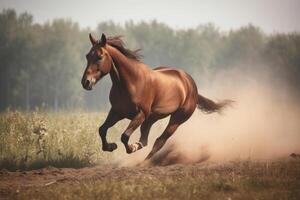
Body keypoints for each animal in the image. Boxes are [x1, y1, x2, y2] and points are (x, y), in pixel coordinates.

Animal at [81, 33, 231, 162]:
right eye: (87, 56)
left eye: (100, 57)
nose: (85, 82)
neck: (130, 82)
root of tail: (192, 86)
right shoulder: (117, 112)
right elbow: (102, 129)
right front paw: (111, 146)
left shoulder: (140, 114)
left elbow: (124, 136)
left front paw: (130, 148)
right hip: (151, 119)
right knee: (145, 140)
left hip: (176, 120)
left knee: (159, 141)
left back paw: (144, 162)